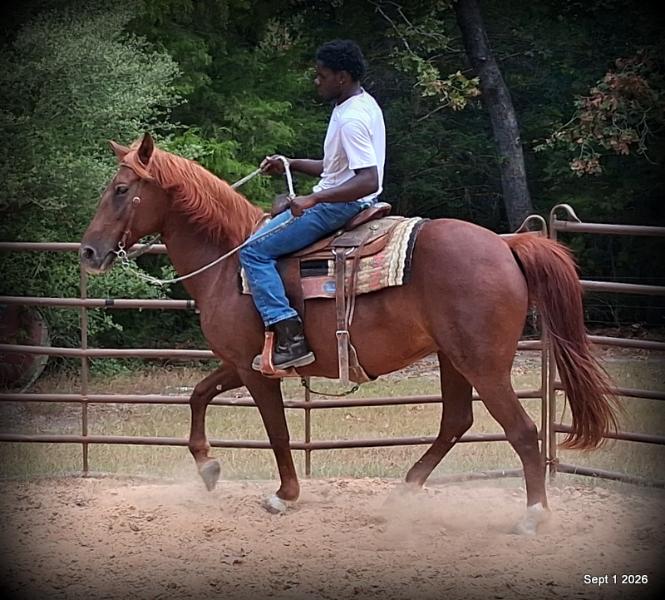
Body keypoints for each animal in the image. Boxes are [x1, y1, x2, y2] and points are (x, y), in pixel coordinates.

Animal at [80, 133, 618, 534]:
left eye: (121, 189)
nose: (88, 251)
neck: (231, 261)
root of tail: (506, 245)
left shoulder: (256, 371)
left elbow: (276, 431)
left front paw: (285, 495)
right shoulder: (240, 362)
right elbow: (197, 395)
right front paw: (208, 467)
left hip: (484, 364)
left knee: (522, 431)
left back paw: (532, 516)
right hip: (452, 358)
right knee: (455, 422)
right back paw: (404, 491)